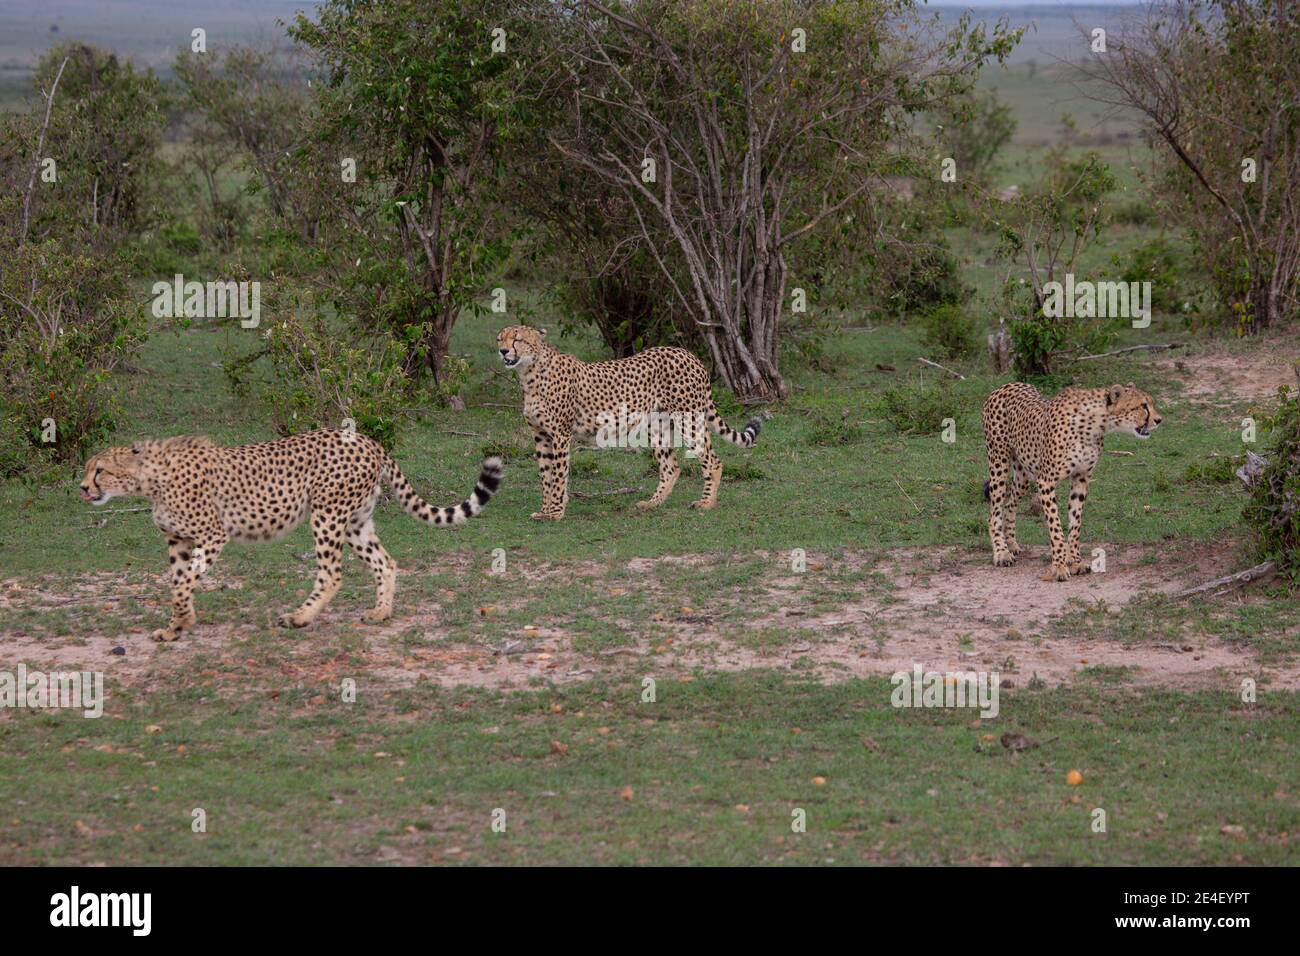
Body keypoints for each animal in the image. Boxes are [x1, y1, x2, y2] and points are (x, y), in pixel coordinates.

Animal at [78, 431, 499, 642]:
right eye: (88, 469)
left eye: (99, 470)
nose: (83, 488)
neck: (148, 480)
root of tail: (368, 440)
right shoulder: (178, 541)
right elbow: (179, 583)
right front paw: (178, 625)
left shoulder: (212, 534)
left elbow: (182, 583)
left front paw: (181, 621)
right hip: (355, 521)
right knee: (385, 561)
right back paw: (381, 612)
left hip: (327, 515)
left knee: (332, 573)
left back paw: (300, 617)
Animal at [493, 327, 759, 522]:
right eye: (500, 338)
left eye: (517, 339)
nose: (503, 351)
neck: (530, 373)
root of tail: (687, 353)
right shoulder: (540, 435)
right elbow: (546, 476)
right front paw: (545, 509)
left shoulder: (560, 434)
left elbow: (558, 475)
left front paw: (556, 513)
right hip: (657, 425)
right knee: (671, 466)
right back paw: (652, 503)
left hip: (688, 418)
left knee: (712, 461)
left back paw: (706, 503)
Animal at [977, 382, 1164, 582]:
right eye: (1143, 405)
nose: (1159, 420)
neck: (1095, 424)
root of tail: (1005, 385)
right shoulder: (1046, 481)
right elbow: (1056, 527)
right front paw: (1059, 566)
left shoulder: (1081, 479)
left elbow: (1075, 524)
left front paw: (1075, 562)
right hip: (999, 463)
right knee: (994, 512)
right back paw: (1001, 553)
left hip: (1023, 474)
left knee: (1009, 504)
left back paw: (1012, 544)